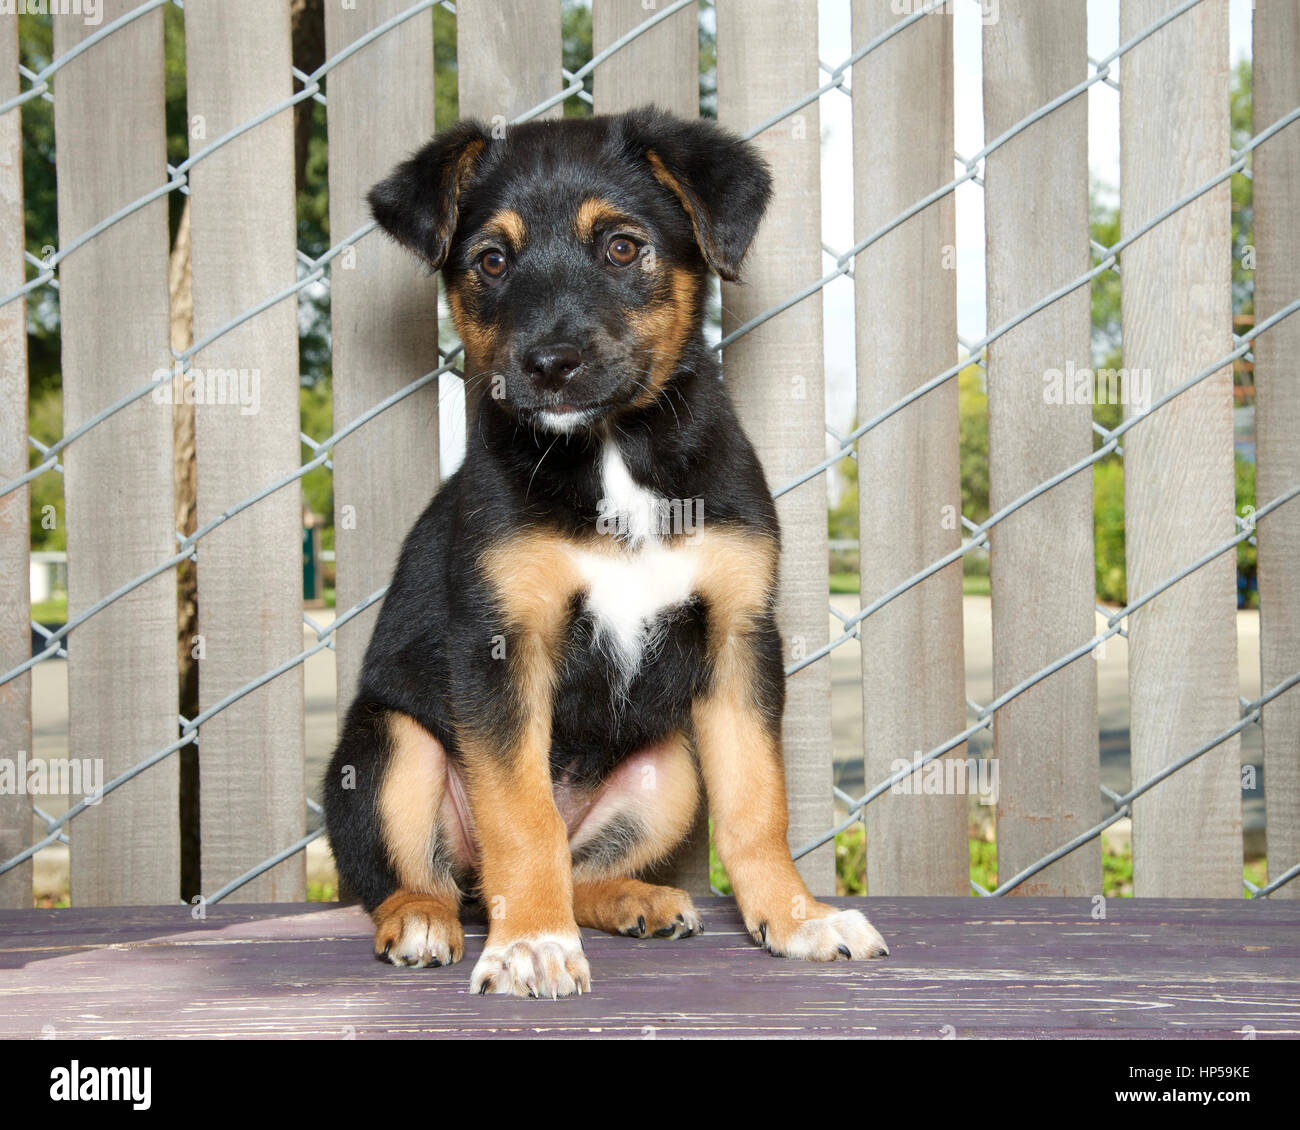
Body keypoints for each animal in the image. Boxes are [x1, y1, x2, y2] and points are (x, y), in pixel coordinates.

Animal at [325, 105, 889, 998]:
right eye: (491, 261)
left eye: (622, 247)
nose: (550, 366)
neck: (613, 450)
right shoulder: (500, 647)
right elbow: (522, 816)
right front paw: (530, 943)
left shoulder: (739, 637)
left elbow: (758, 805)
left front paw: (797, 918)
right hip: (391, 745)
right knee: (422, 877)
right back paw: (427, 920)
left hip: (671, 769)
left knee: (581, 864)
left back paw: (634, 901)